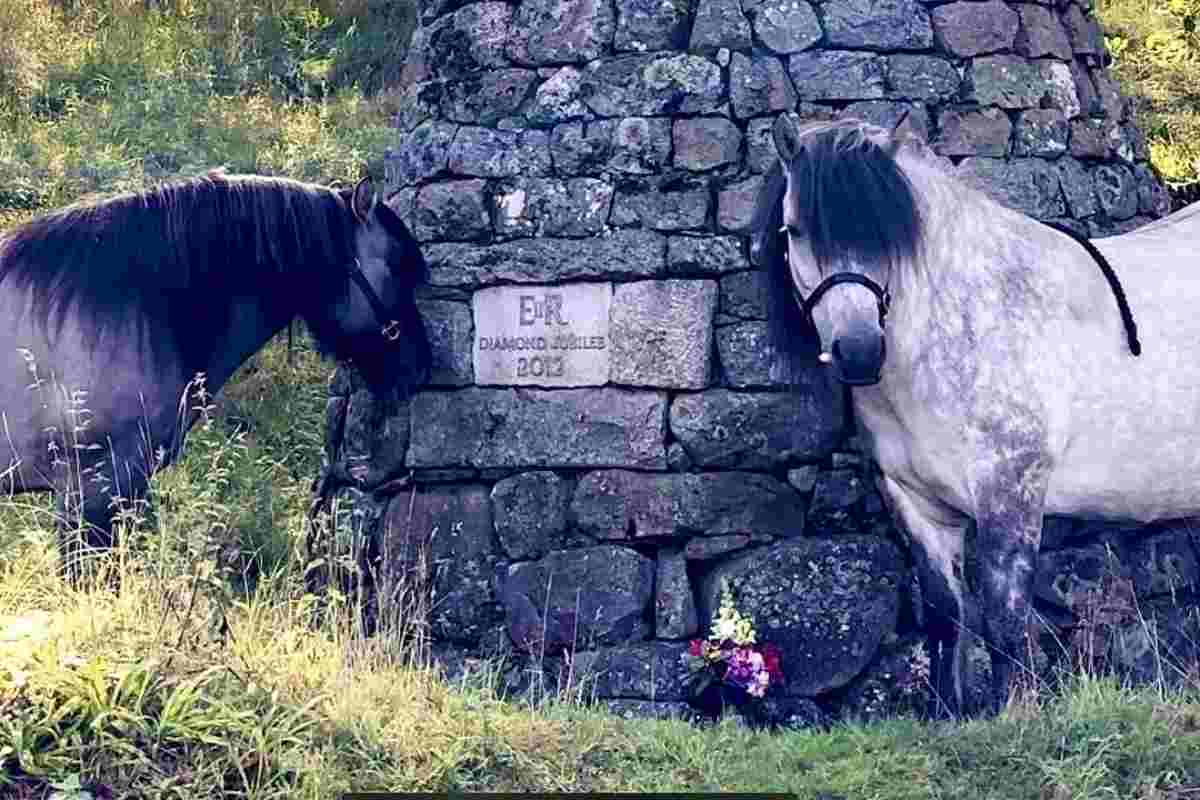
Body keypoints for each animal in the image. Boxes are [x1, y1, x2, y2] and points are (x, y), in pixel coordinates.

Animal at [748, 110, 1190, 714]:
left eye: (887, 235)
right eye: (795, 230)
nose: (859, 351)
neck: (964, 328)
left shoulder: (1009, 490)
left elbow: (1004, 618)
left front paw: (1014, 716)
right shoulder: (916, 504)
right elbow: (945, 616)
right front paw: (948, 715)